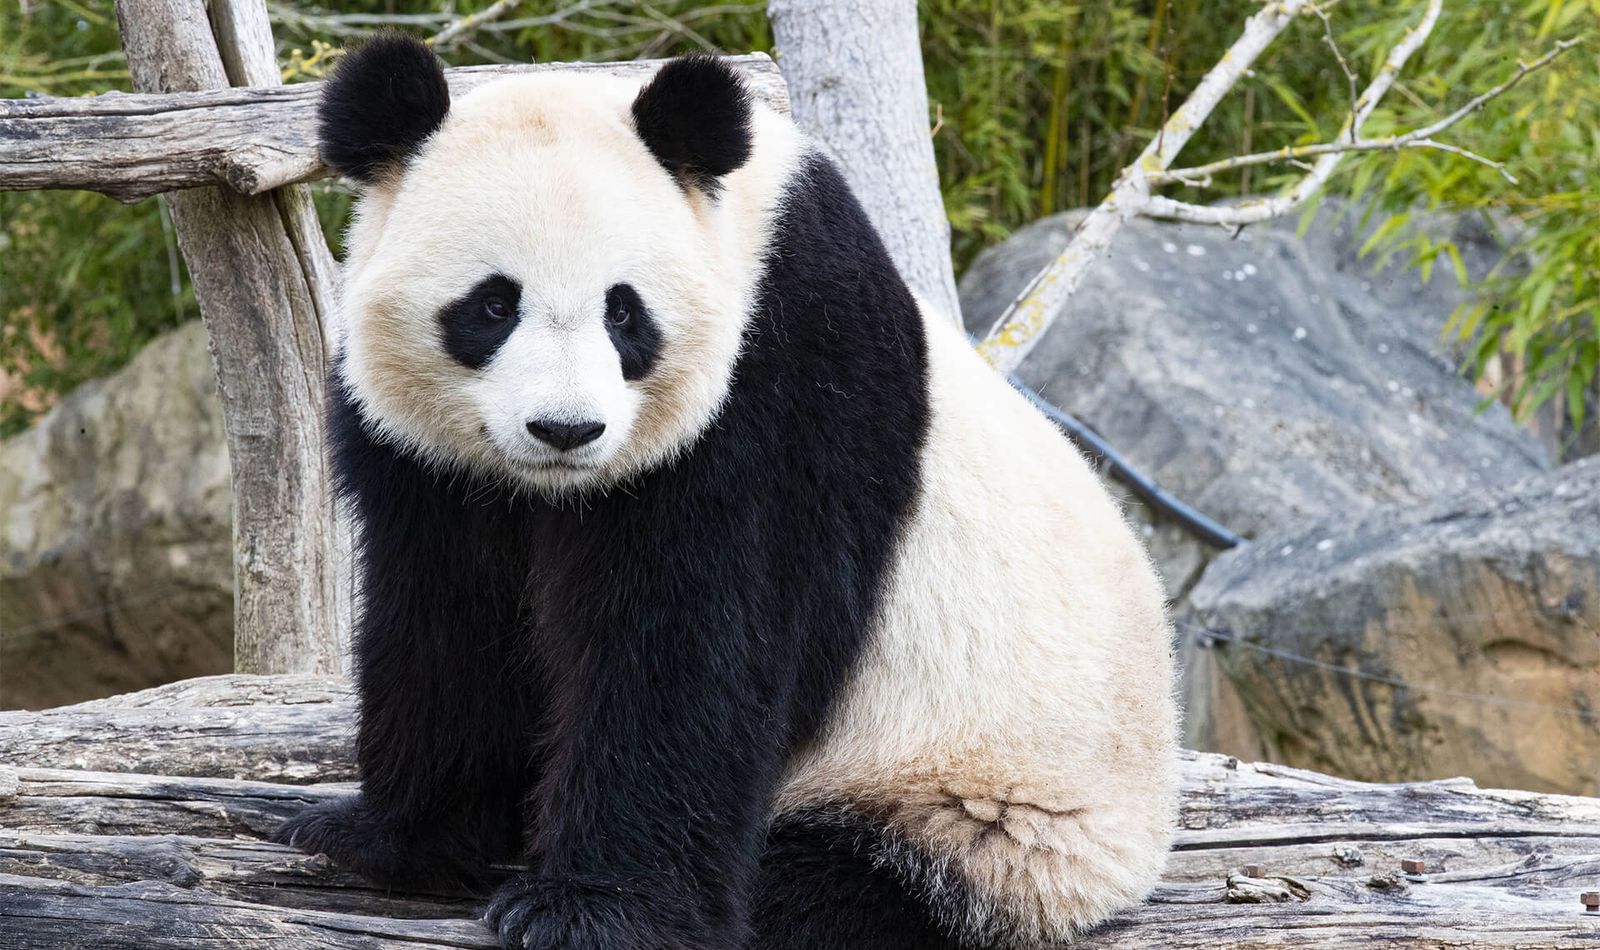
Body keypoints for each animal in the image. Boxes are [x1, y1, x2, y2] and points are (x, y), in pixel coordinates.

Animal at [276, 33, 1180, 950]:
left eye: (624, 313)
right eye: (493, 306)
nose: (566, 430)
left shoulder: (783, 386)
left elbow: (696, 638)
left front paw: (588, 910)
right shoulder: (434, 469)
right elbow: (449, 619)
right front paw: (387, 841)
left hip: (984, 811)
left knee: (856, 878)